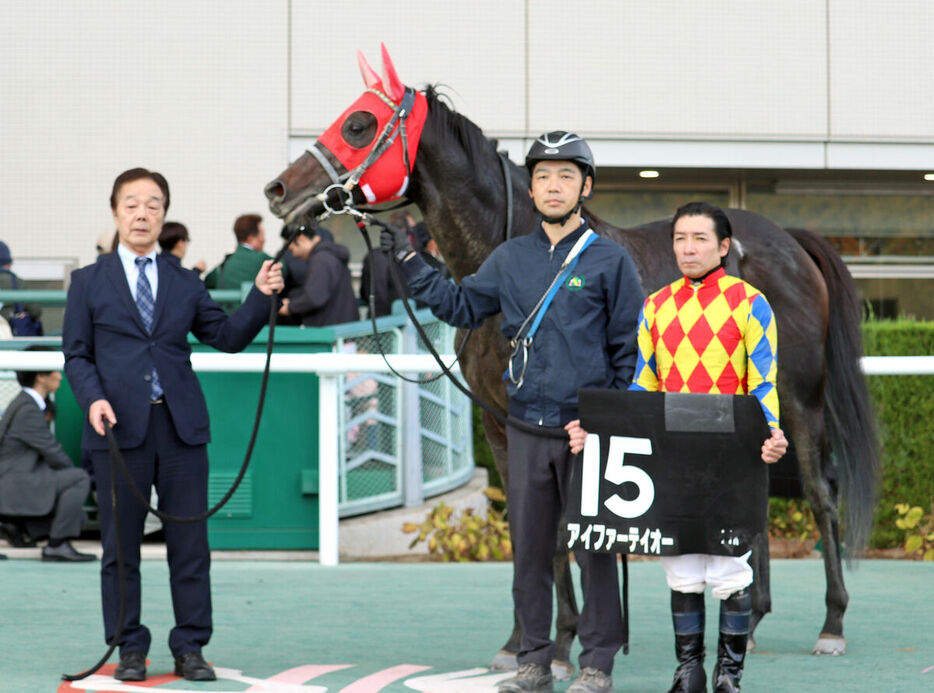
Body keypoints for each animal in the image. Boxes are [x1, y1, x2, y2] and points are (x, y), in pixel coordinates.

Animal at [266, 46, 880, 664]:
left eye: (359, 124)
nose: (278, 190)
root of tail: (791, 241)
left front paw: (565, 643)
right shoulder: (501, 422)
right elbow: (528, 527)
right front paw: (527, 642)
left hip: (796, 398)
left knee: (818, 493)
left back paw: (832, 623)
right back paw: (750, 618)